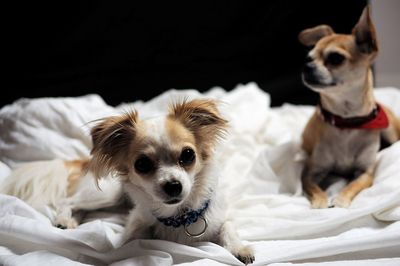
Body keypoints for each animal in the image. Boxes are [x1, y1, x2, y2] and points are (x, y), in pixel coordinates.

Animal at [296, 6, 400, 208]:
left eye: (336, 58)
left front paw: (341, 199)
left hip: (390, 130)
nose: (306, 66)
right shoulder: (311, 171)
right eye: (308, 58)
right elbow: (314, 188)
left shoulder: (364, 172)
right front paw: (320, 201)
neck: (347, 121)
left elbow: (352, 185)